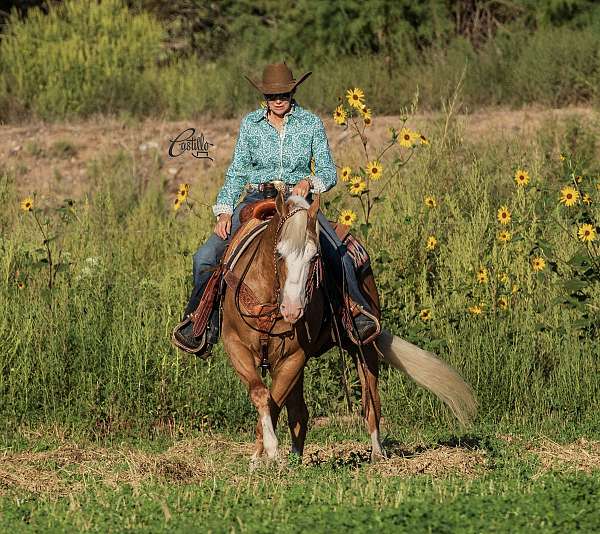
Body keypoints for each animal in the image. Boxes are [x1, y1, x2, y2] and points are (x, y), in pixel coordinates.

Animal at [218, 192, 476, 464]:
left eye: (314, 257)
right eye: (278, 253)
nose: (293, 309)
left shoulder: (294, 357)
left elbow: (274, 402)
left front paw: (269, 453)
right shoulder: (236, 347)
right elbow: (262, 394)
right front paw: (263, 456)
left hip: (363, 346)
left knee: (371, 401)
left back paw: (377, 454)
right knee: (298, 411)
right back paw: (297, 457)